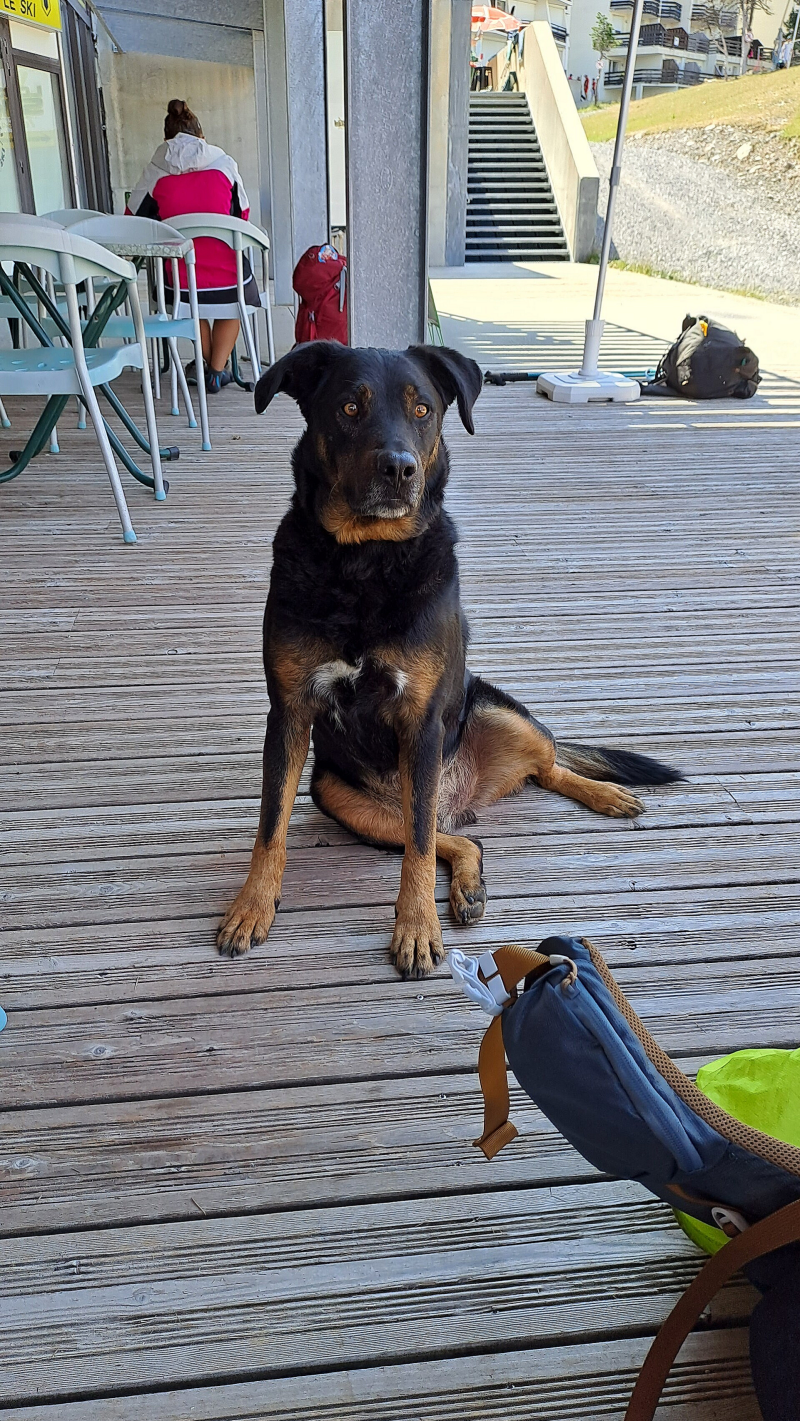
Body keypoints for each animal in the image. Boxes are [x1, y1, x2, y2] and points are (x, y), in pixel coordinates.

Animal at [217, 342, 681, 978]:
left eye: (423, 409)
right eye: (348, 407)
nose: (399, 468)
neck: (363, 562)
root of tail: (464, 798)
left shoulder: (422, 719)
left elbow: (415, 848)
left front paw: (415, 927)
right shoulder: (288, 713)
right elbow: (271, 827)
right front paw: (252, 905)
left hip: (493, 717)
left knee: (538, 769)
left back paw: (603, 794)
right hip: (339, 795)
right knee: (457, 837)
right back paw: (468, 882)